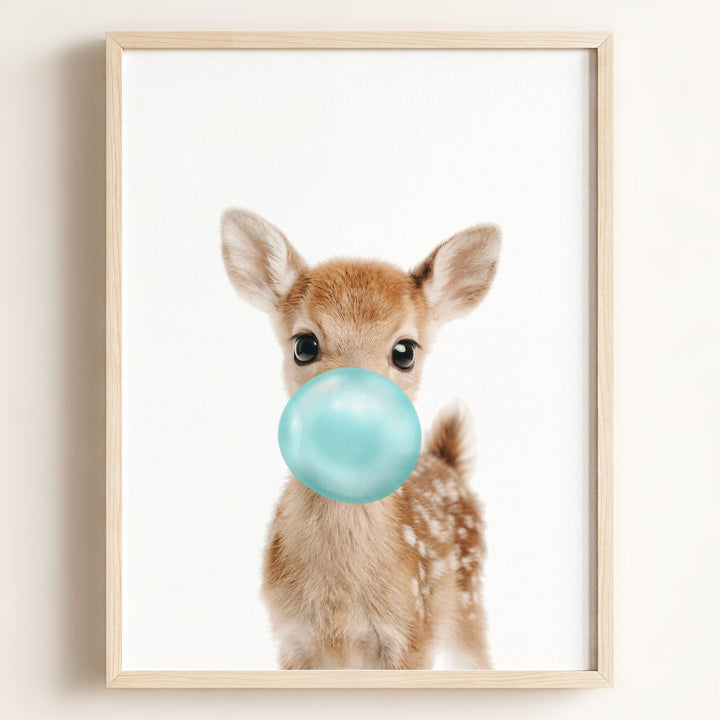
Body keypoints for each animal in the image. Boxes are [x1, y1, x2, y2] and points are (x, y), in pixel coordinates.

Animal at [221, 208, 501, 670]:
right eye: (304, 345)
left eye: (405, 351)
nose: (350, 416)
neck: (339, 607)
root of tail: (447, 462)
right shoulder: (292, 640)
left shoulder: (411, 635)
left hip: (469, 604)